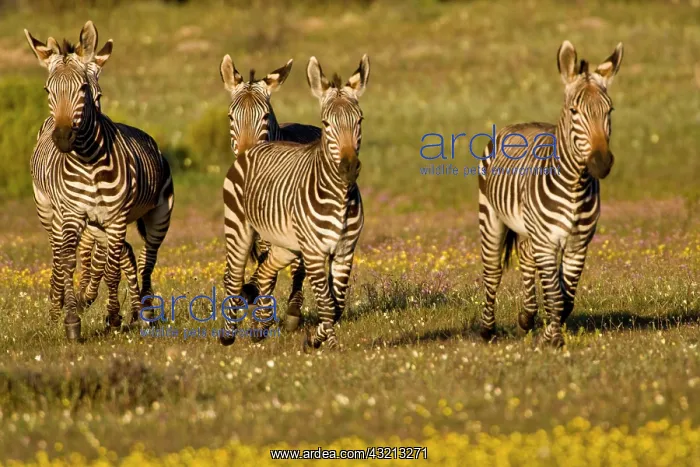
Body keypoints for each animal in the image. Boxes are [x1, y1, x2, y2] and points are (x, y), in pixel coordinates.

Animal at [24, 21, 174, 340]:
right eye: (47, 90)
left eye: (84, 89)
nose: (62, 137)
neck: (89, 162)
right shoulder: (73, 214)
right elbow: (69, 261)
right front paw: (71, 319)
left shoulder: (115, 218)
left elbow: (112, 266)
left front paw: (113, 317)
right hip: (49, 212)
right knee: (59, 254)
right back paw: (57, 307)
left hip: (157, 216)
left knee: (146, 259)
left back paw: (145, 314)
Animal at [478, 40, 623, 348]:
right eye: (574, 111)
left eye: (610, 110)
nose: (601, 162)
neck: (574, 184)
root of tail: (519, 124)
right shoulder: (547, 242)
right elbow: (555, 297)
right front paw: (553, 340)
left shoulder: (578, 245)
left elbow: (565, 299)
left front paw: (546, 332)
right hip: (491, 218)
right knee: (492, 272)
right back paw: (487, 330)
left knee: (526, 256)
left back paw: (526, 318)